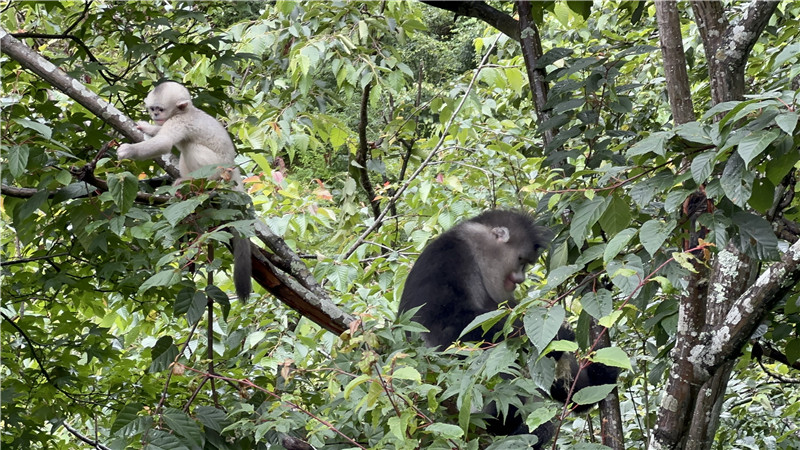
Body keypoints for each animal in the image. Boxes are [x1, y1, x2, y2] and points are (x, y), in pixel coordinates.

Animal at [115, 81, 252, 302]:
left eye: (160, 109)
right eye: (152, 109)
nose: (155, 115)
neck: (188, 110)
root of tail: (232, 168)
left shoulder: (180, 121)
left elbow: (164, 143)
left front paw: (128, 150)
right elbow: (160, 133)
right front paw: (147, 126)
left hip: (216, 169)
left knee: (191, 147)